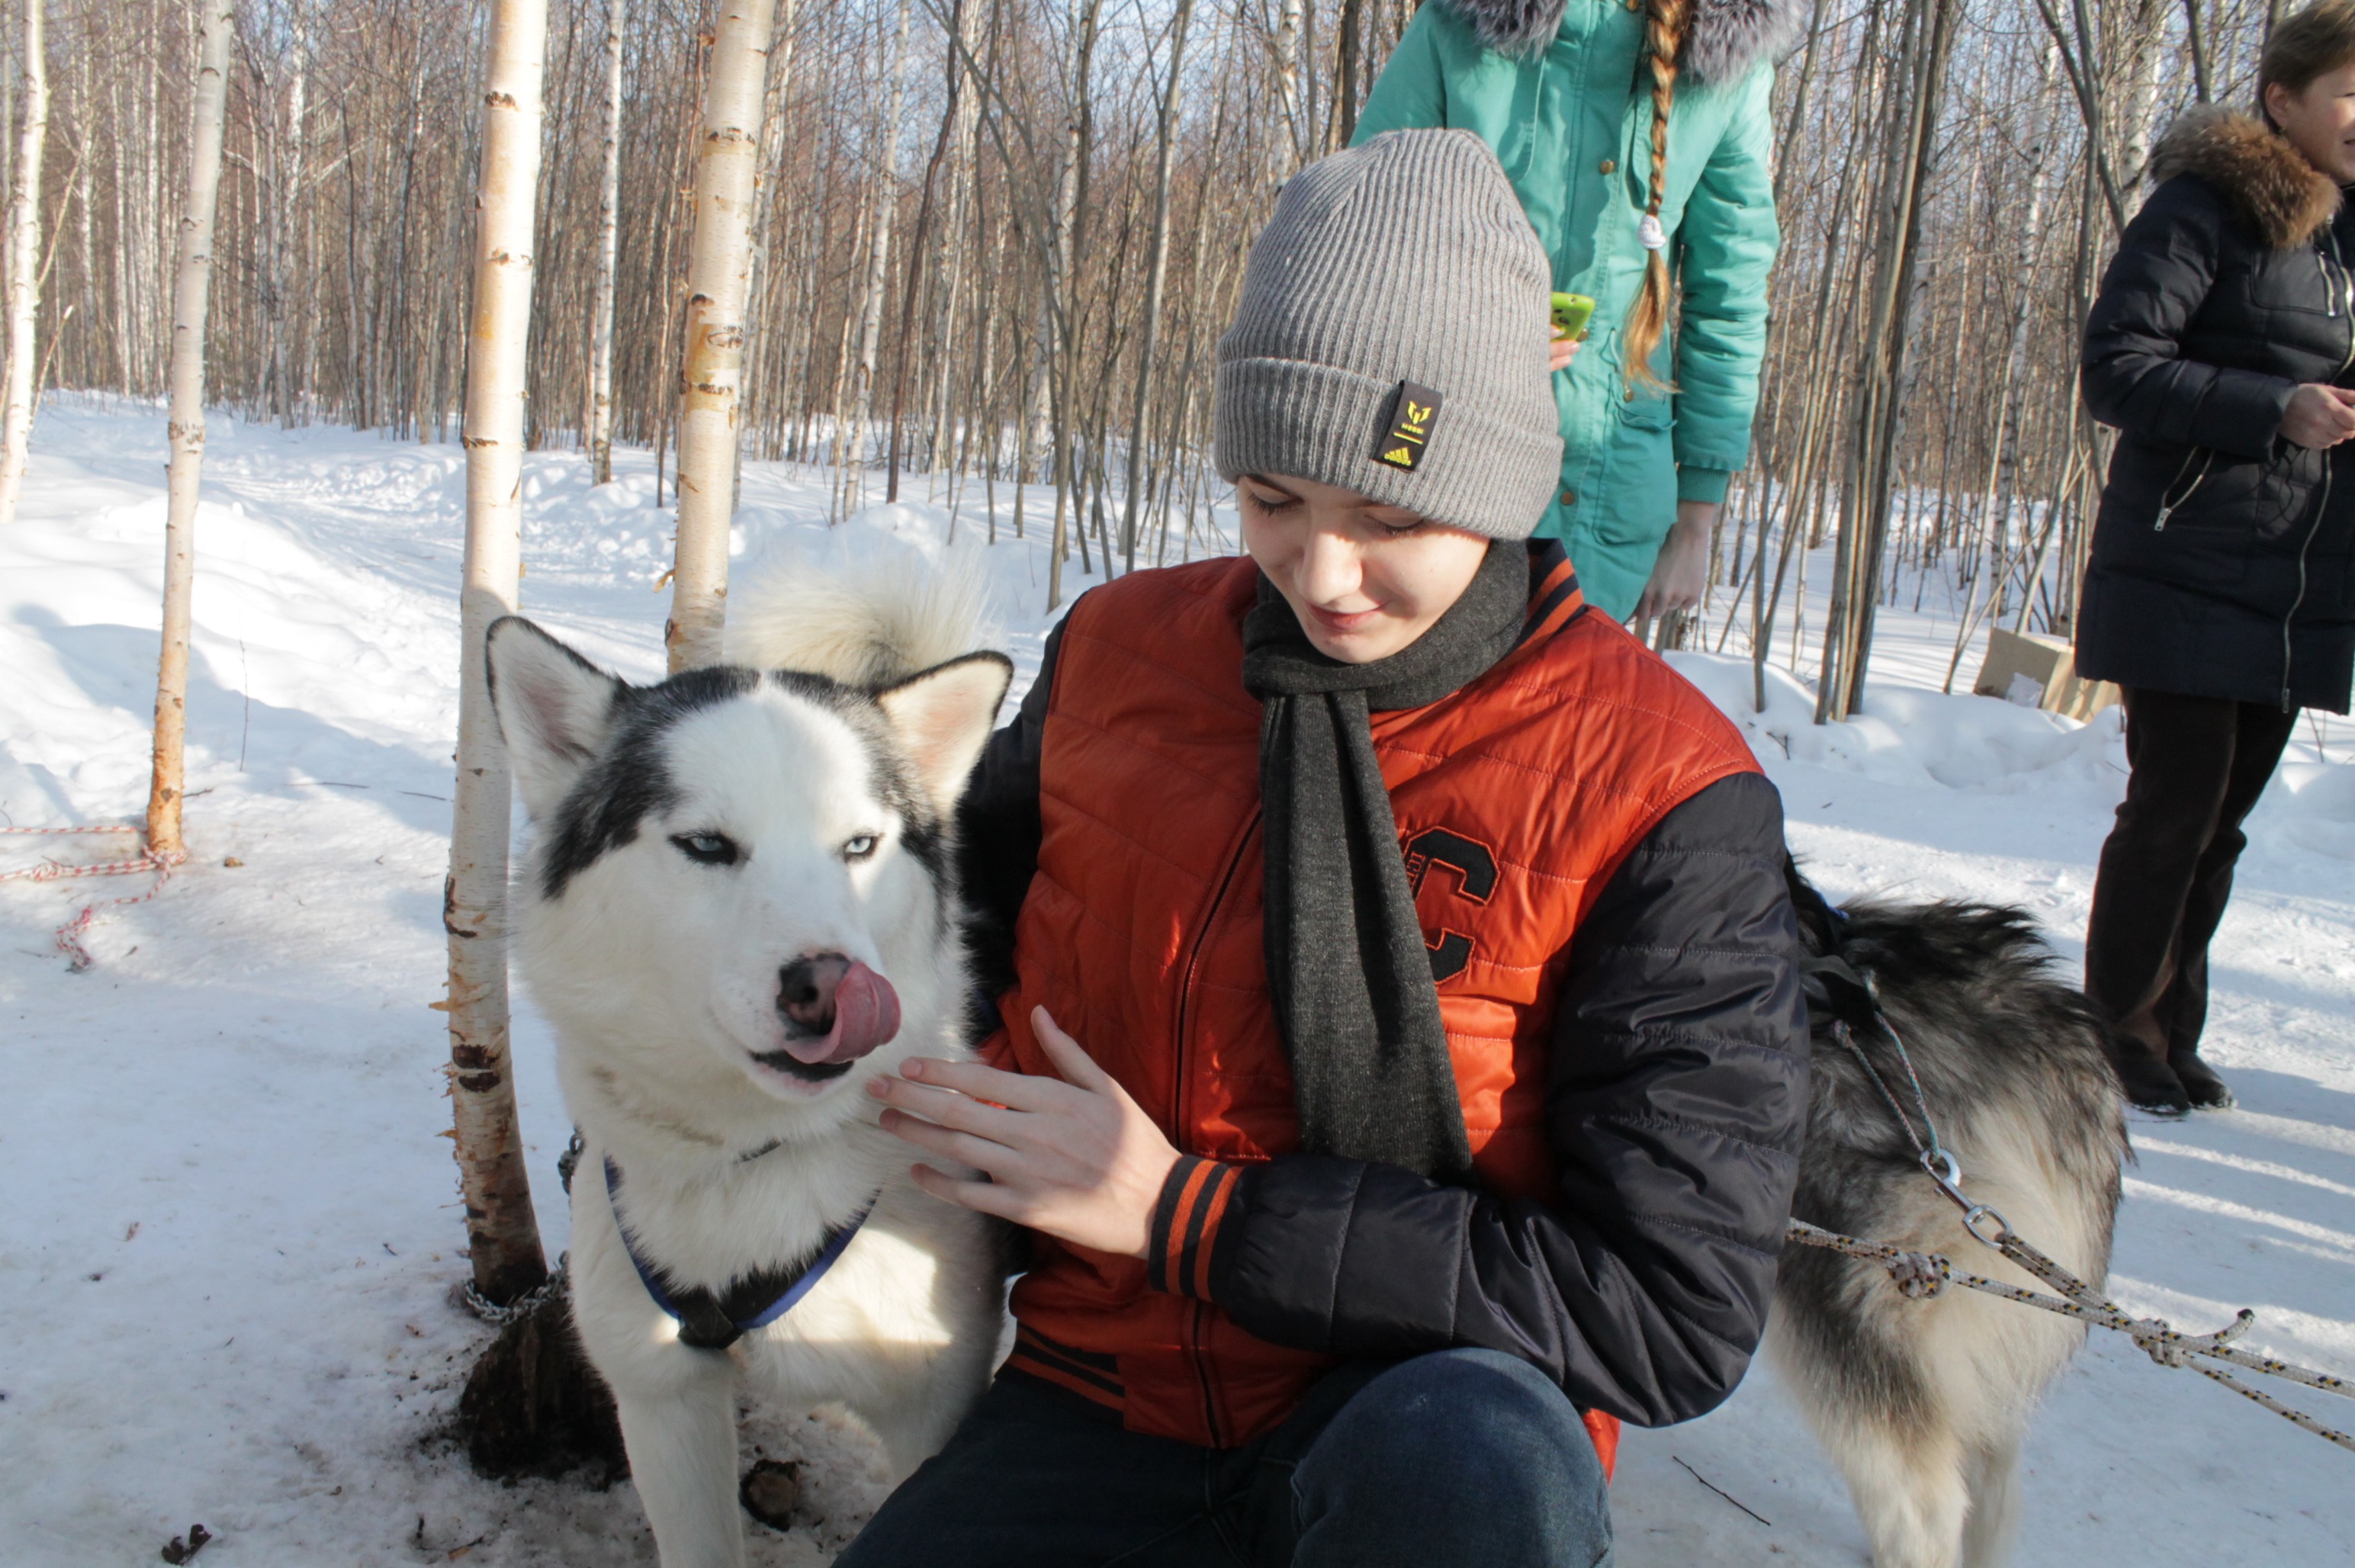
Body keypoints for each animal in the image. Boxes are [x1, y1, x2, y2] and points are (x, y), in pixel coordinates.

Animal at [487, 555, 1012, 1554]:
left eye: (860, 845)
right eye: (706, 845)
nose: (831, 987)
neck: (750, 1158)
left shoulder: (932, 1412)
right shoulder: (663, 1404)